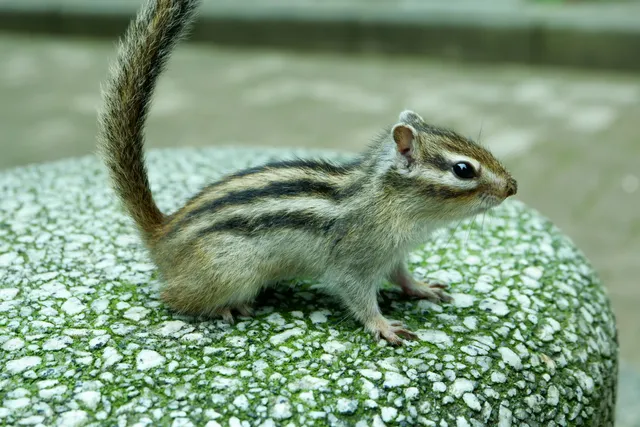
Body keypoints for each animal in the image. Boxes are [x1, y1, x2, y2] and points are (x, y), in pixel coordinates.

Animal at [97, 0, 518, 345]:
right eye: (463, 169)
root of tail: (163, 234)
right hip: (230, 272)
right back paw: (224, 307)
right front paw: (382, 325)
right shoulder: (354, 262)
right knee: (171, 297)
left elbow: (401, 275)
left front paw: (422, 287)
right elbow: (357, 296)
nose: (512, 187)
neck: (392, 203)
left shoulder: (393, 255)